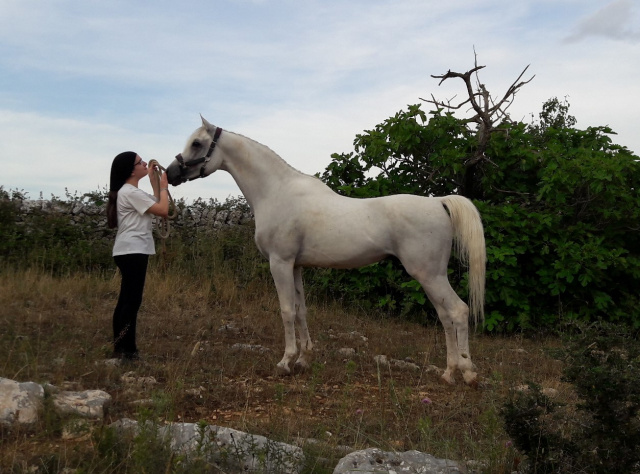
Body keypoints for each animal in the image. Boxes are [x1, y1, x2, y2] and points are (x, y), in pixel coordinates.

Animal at [165, 116, 484, 386]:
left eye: (197, 143)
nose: (170, 173)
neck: (276, 192)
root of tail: (438, 202)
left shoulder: (280, 263)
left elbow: (286, 310)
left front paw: (285, 362)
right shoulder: (295, 266)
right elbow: (301, 310)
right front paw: (304, 359)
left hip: (428, 274)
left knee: (458, 311)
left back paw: (468, 373)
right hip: (431, 276)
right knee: (445, 316)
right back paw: (449, 372)